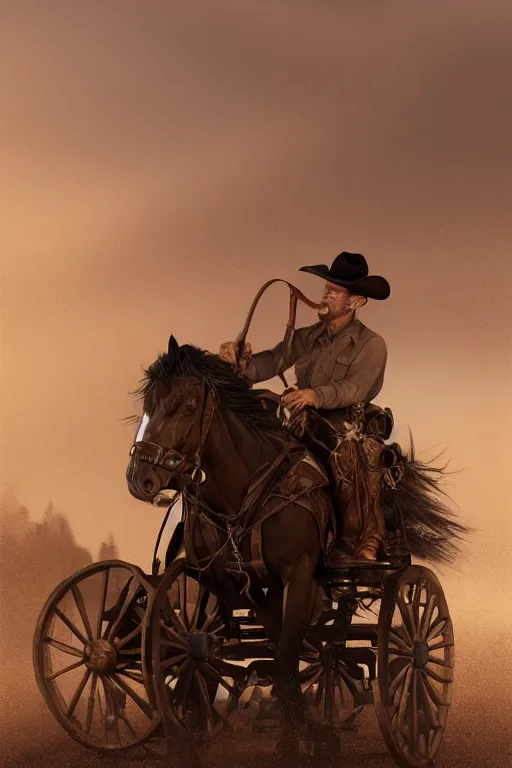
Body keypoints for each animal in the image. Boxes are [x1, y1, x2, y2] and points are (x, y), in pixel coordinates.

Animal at [127, 340, 468, 752]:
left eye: (189, 405)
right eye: (147, 401)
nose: (140, 478)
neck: (248, 493)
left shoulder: (300, 574)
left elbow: (287, 656)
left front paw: (297, 737)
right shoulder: (239, 583)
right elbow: (279, 647)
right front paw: (306, 724)